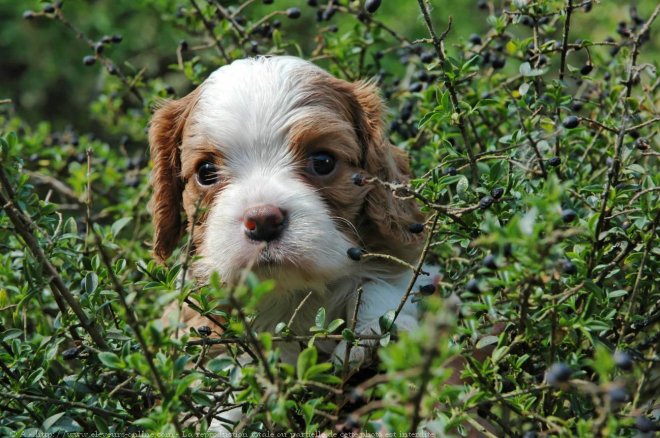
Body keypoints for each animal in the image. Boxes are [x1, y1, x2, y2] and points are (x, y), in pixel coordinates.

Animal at [147, 56, 430, 368]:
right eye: (206, 172)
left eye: (323, 161)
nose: (262, 220)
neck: (290, 295)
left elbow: (383, 282)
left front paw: (373, 334)